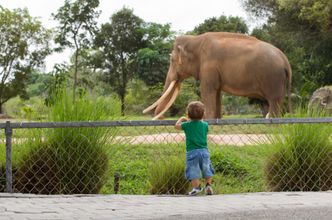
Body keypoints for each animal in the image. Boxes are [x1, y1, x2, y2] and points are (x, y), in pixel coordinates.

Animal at [144, 31, 292, 119]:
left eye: (171, 60)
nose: (161, 118)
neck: (195, 39)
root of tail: (285, 60)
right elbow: (216, 94)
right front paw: (217, 120)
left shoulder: (209, 66)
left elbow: (207, 91)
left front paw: (207, 120)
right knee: (278, 101)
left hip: (272, 78)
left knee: (273, 100)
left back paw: (271, 120)